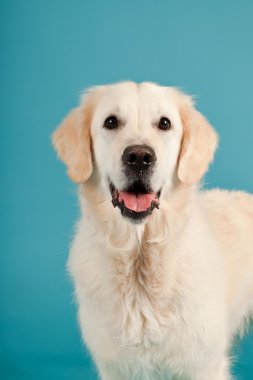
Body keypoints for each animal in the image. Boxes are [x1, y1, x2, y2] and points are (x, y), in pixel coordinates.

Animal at [52, 82, 252, 380]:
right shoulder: (116, 368)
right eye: (111, 122)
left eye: (164, 123)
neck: (139, 259)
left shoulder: (204, 365)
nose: (139, 157)